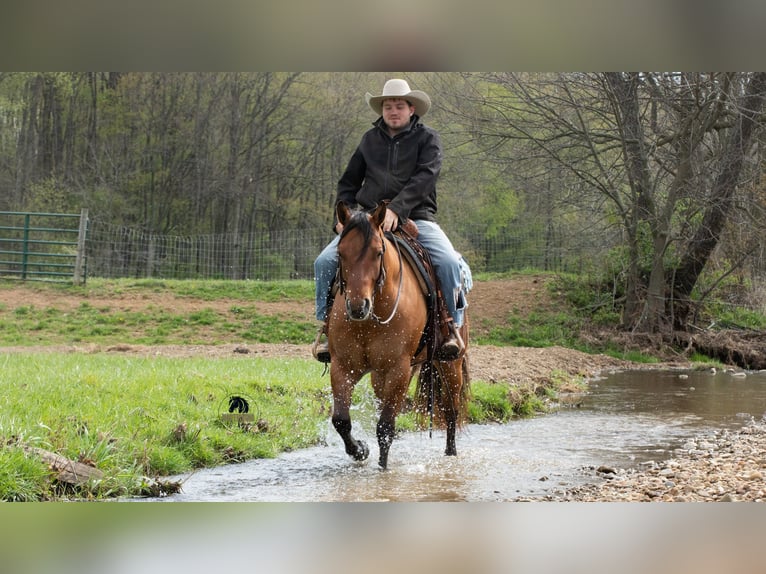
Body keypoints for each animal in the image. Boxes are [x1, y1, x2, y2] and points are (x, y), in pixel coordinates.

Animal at [327, 202, 470, 469]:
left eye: (377, 253)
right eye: (340, 253)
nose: (357, 306)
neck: (371, 319)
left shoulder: (398, 369)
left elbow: (385, 427)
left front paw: (383, 470)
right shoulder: (342, 367)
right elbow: (341, 420)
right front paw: (360, 450)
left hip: (450, 365)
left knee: (451, 410)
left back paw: (450, 453)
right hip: (381, 376)